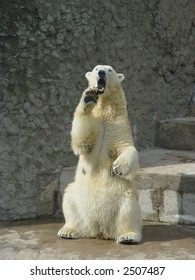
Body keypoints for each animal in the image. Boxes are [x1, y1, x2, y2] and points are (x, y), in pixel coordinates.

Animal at [58, 65, 142, 243]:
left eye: (109, 70)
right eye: (96, 68)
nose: (101, 72)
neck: (105, 110)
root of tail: (99, 229)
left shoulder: (119, 125)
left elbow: (127, 147)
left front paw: (117, 167)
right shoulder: (95, 124)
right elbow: (82, 141)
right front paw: (88, 97)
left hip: (122, 195)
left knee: (129, 208)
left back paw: (128, 236)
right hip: (78, 194)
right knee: (69, 199)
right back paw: (68, 230)